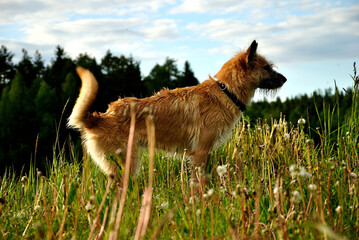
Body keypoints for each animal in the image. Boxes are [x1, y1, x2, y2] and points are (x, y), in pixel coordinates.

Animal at [67, 40, 286, 181]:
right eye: (266, 68)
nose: (285, 79)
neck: (226, 91)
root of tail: (100, 117)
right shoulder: (200, 153)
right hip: (128, 161)